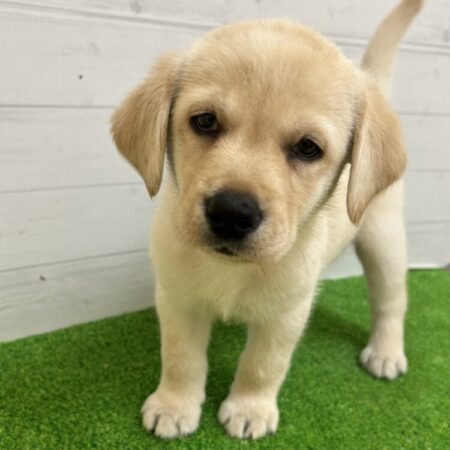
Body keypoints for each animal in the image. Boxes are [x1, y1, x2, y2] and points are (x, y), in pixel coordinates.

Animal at [111, 0, 425, 440]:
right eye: (204, 121)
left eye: (308, 148)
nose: (232, 213)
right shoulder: (177, 298)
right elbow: (180, 358)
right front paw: (174, 406)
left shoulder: (286, 314)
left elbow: (262, 365)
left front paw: (249, 409)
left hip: (384, 238)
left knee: (391, 300)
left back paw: (386, 351)